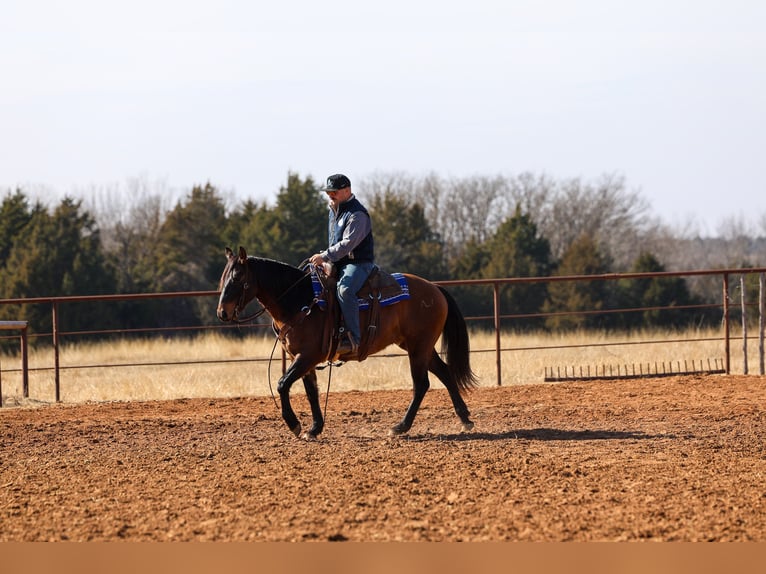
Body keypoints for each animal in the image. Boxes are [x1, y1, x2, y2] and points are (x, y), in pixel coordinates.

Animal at [216, 246, 477, 439]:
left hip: (418, 347)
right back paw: (465, 418)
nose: (222, 312)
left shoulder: (308, 356)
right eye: (223, 276)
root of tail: (435, 288)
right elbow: (311, 391)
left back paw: (401, 426)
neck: (301, 300)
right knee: (445, 373)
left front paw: (294, 424)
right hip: (419, 346)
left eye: (238, 276)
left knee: (421, 384)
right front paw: (314, 428)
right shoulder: (300, 358)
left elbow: (282, 384)